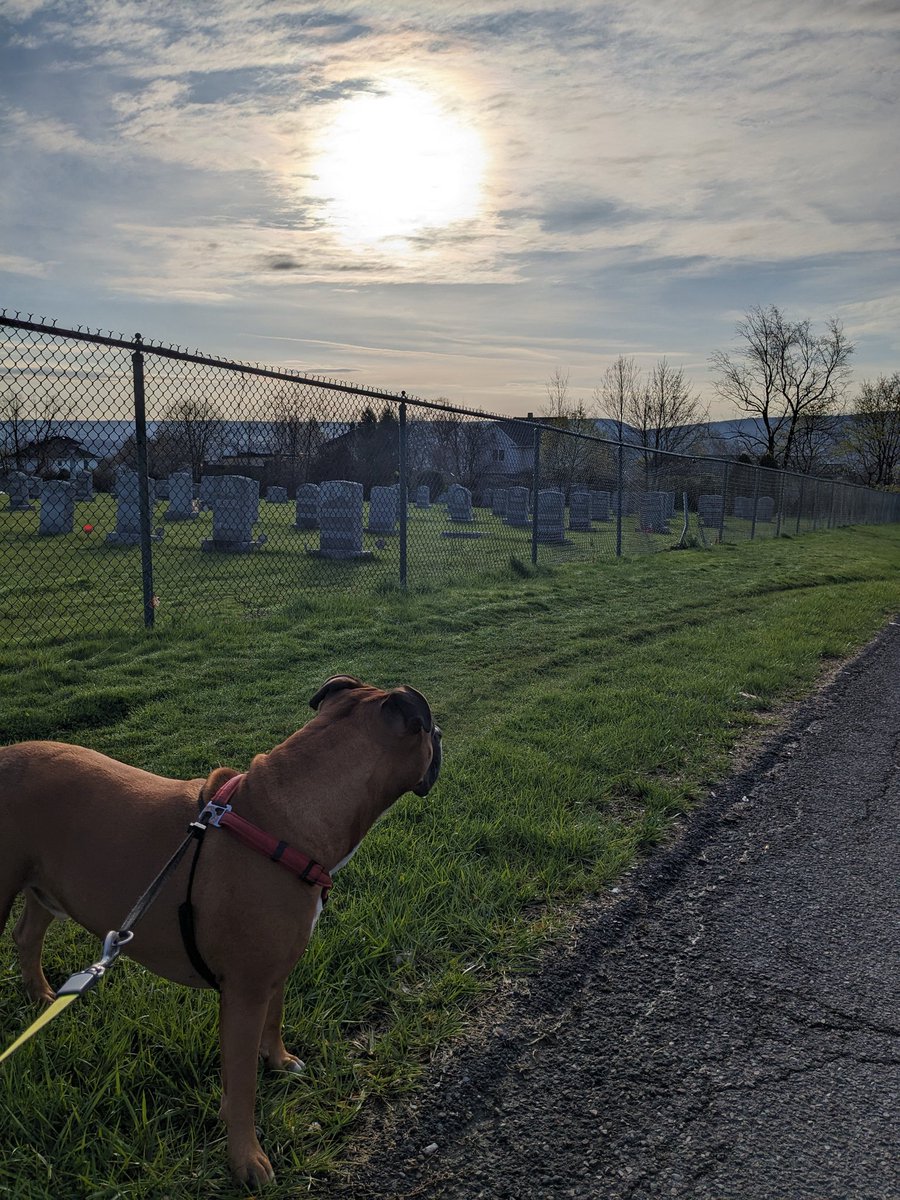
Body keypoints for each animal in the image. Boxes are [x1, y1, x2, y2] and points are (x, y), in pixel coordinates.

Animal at [0, 672, 444, 1185]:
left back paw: (41, 996)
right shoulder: (244, 994)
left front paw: (278, 1061)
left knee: (27, 936)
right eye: (430, 733)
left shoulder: (272, 976)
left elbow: (274, 1022)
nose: (441, 734)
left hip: (46, 888)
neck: (281, 817)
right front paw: (246, 1159)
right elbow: (243, 1087)